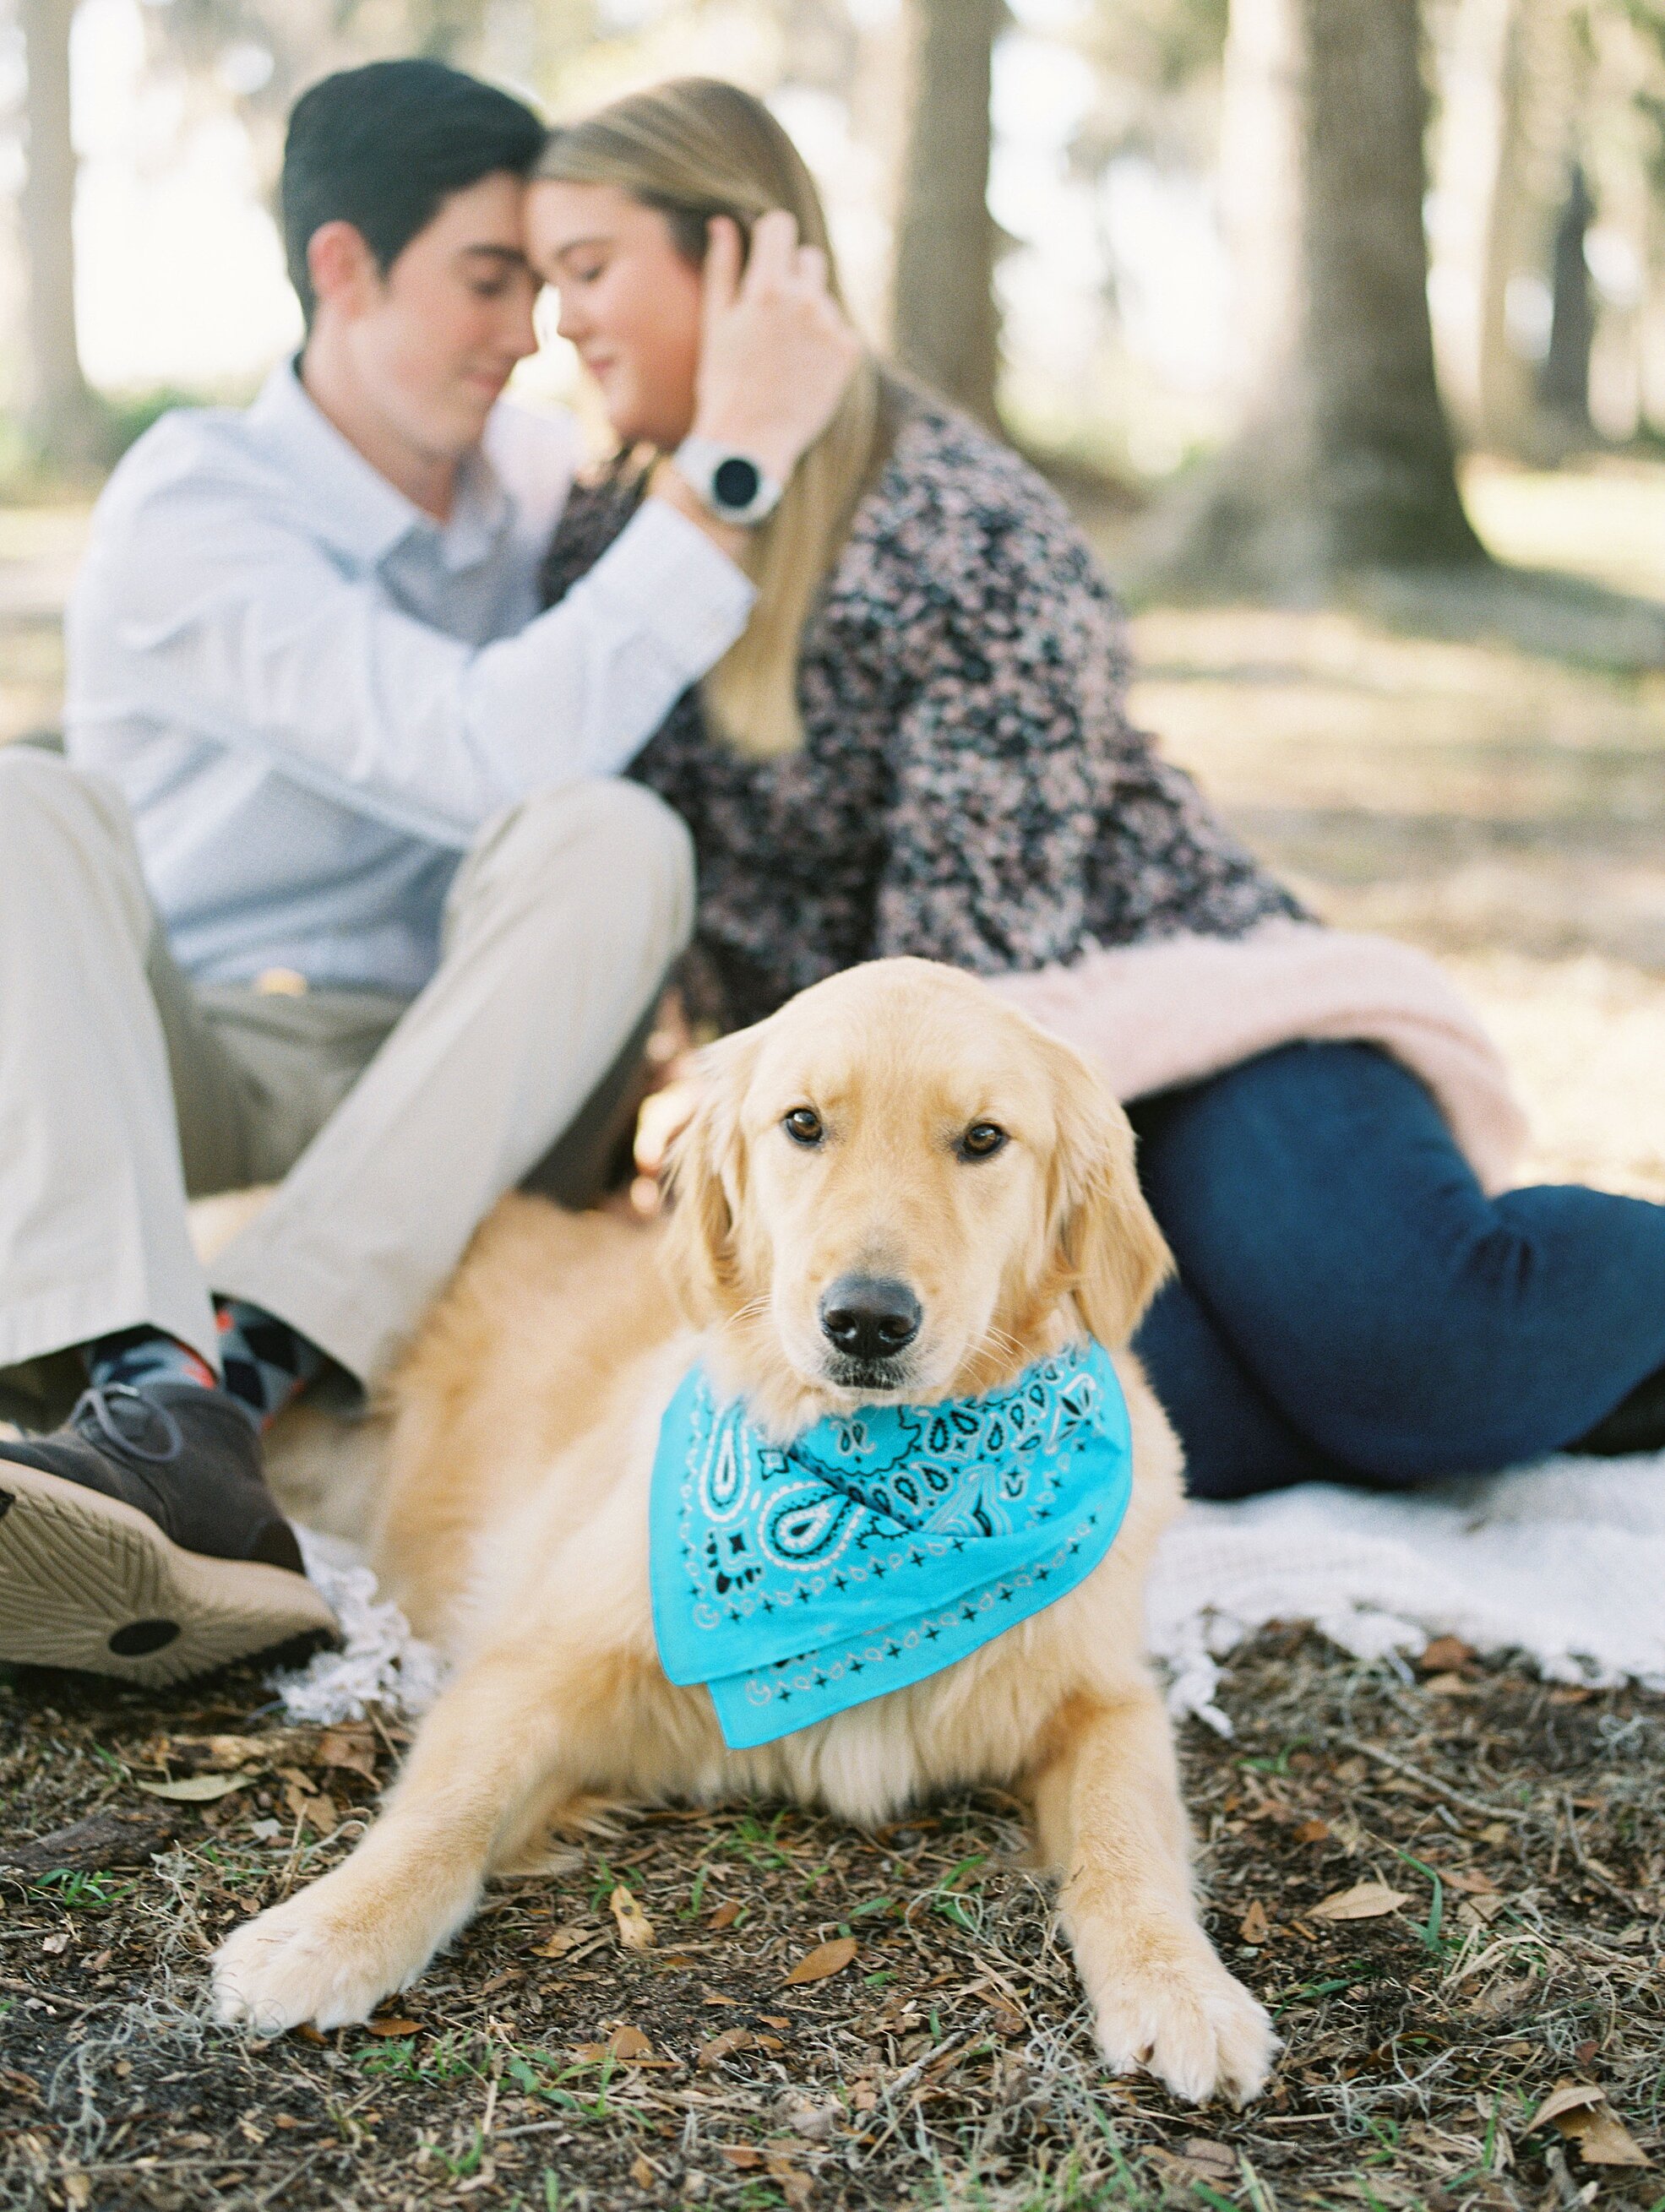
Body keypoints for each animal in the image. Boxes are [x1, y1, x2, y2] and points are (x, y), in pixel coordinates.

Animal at [210, 959, 1273, 2096]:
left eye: (984, 1139)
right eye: (803, 1124)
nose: (866, 1321)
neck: (871, 1483)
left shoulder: (1108, 1696)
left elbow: (1130, 1832)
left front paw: (1179, 1985)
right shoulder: (540, 1658)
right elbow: (447, 1808)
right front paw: (327, 1931)